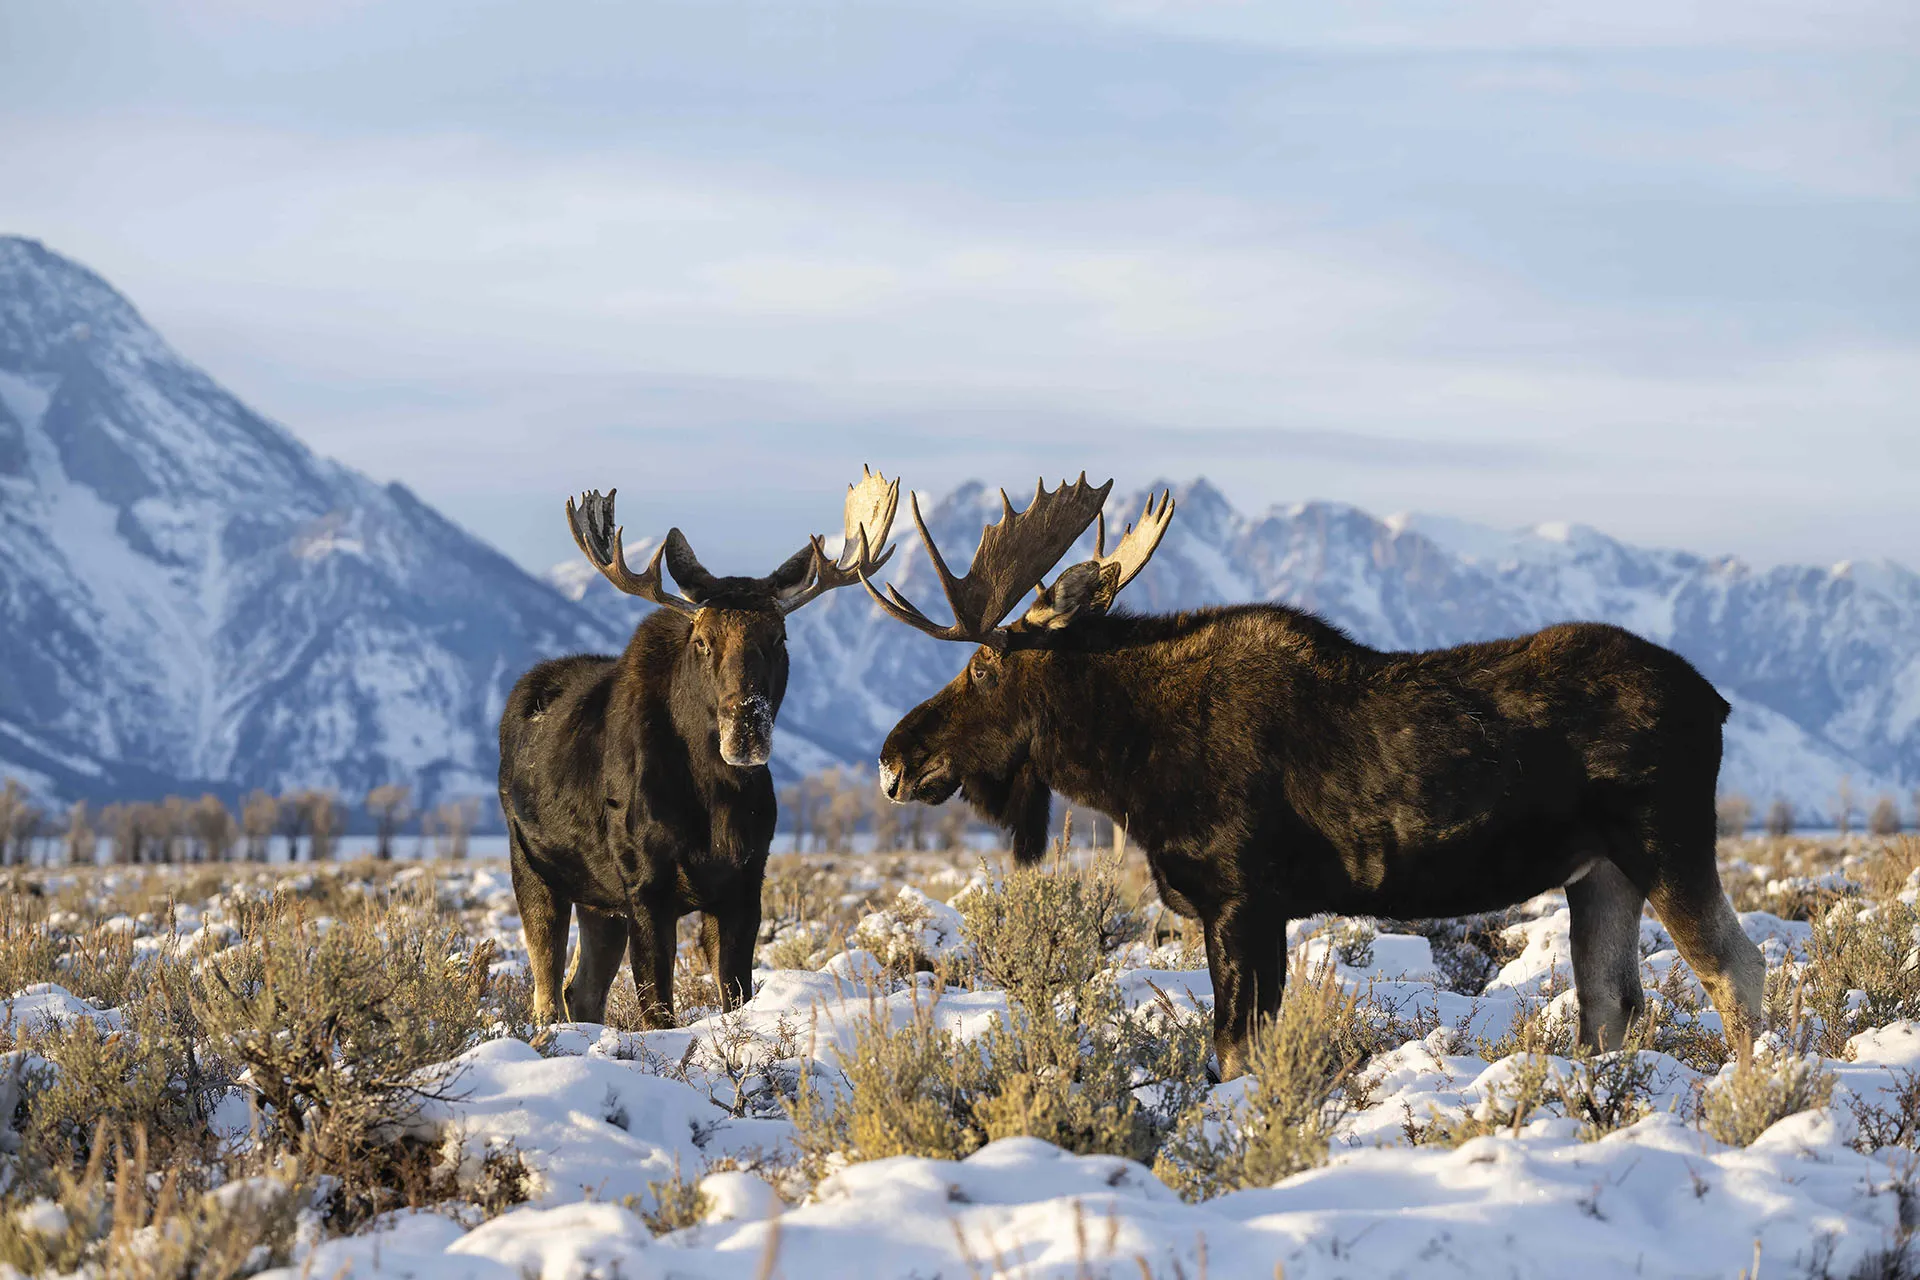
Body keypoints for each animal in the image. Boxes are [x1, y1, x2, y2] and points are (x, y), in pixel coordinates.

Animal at [499, 469, 898, 1026]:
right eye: (703, 640)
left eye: (780, 637)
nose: (746, 726)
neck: (714, 792)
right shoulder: (645, 888)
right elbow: (657, 1011)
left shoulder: (744, 885)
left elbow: (736, 994)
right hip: (534, 870)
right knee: (547, 994)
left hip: (599, 901)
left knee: (582, 992)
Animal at [861, 475, 1765, 1079]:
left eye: (983, 669)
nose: (893, 761)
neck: (1126, 765)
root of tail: (1718, 701)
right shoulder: (1257, 911)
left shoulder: (1240, 900)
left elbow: (1233, 1051)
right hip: (1601, 872)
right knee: (1610, 1003)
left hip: (1667, 843)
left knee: (1736, 969)